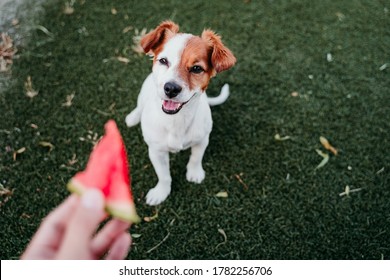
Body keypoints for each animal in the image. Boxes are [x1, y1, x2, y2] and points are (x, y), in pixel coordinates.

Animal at [125, 20, 235, 205]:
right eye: (163, 61)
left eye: (197, 68)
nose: (170, 88)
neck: (176, 120)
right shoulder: (156, 151)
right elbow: (164, 176)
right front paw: (161, 192)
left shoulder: (202, 140)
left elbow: (196, 158)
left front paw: (194, 173)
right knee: (139, 106)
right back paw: (133, 117)